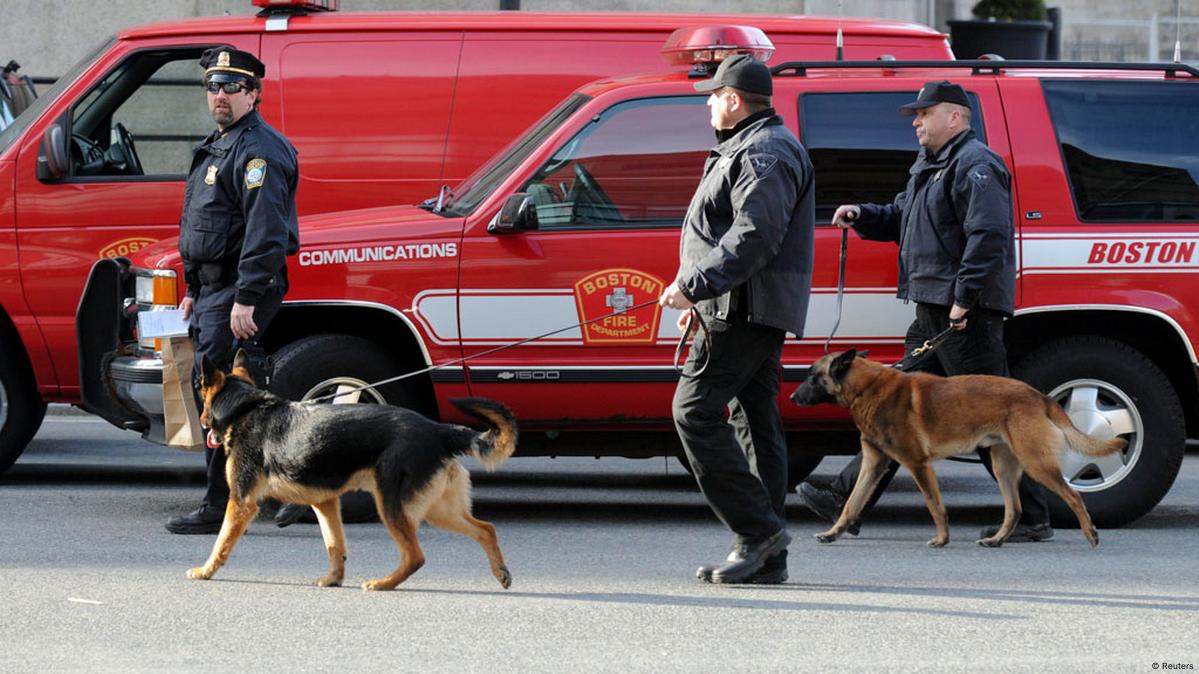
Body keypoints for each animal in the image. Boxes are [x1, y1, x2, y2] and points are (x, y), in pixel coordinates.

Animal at [189, 347, 517, 590]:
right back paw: (501, 571)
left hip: (392, 506)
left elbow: (221, 542)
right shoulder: (325, 503)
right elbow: (335, 545)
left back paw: (383, 583)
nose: (203, 423)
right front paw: (334, 579)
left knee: (416, 556)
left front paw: (205, 571)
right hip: (437, 509)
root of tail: (438, 430)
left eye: (200, 393)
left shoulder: (242, 502)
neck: (245, 407)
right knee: (485, 529)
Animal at [791, 347, 1127, 549]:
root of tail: (1038, 395)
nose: (793, 397)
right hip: (1004, 467)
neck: (867, 388)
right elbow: (852, 503)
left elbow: (935, 505)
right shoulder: (874, 464)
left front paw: (942, 539)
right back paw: (997, 539)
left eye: (812, 377)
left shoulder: (918, 464)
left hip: (1036, 463)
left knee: (1073, 496)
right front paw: (833, 532)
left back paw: (1090, 533)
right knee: (1014, 509)